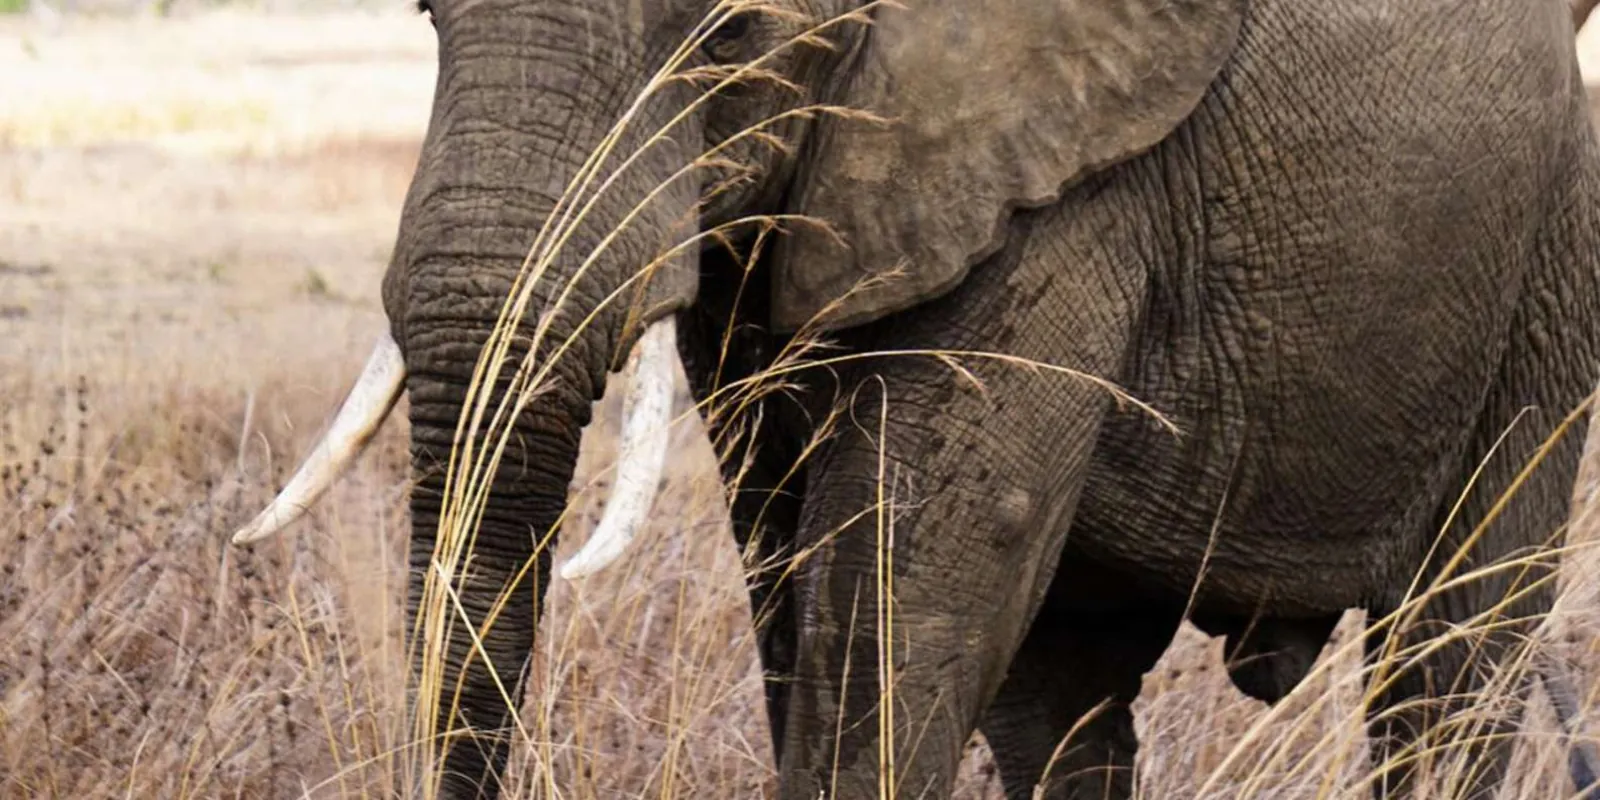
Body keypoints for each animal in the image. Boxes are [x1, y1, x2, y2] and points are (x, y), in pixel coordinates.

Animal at [230, 0, 1600, 798]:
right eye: (427, 13)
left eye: (727, 31)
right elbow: (793, 564)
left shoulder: (1057, 180)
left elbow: (905, 579)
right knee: (1063, 699)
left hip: (1548, 262)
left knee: (1447, 659)